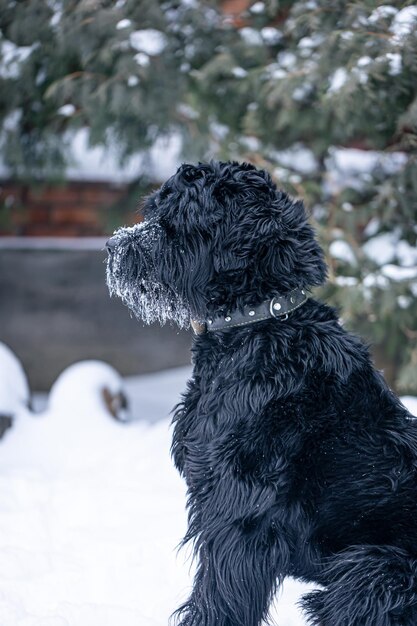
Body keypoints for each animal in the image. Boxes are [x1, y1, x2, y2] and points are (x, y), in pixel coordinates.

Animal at [105, 162, 416, 624]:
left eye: (177, 217)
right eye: (154, 209)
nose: (112, 245)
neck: (257, 324)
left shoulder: (240, 511)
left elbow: (220, 596)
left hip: (375, 572)